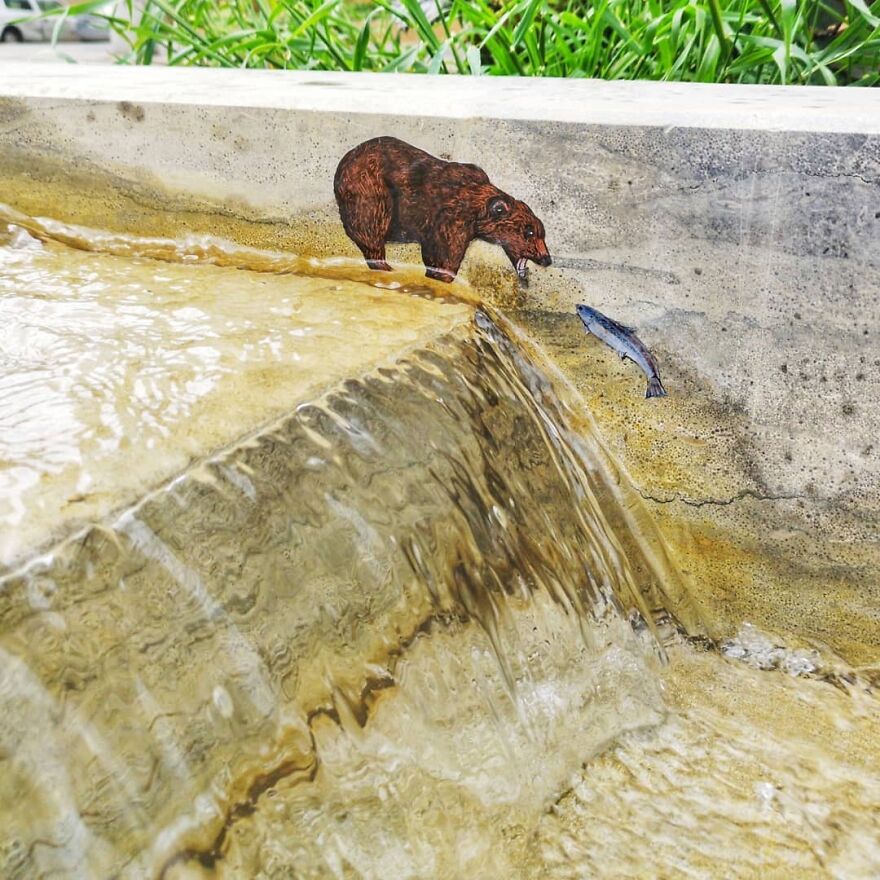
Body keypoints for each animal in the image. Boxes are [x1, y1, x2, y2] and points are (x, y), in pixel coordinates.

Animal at [333, 136, 551, 283]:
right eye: (529, 233)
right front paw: (442, 275)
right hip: (372, 191)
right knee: (372, 229)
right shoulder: (449, 218)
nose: (546, 258)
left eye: (542, 233)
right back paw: (386, 266)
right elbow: (444, 253)